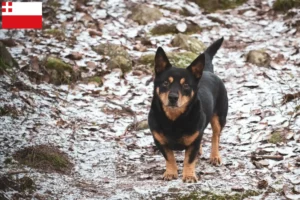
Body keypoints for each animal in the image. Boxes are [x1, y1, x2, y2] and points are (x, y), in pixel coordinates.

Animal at [148, 37, 227, 183]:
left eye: (185, 85)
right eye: (165, 83)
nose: (173, 97)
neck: (174, 119)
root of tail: (207, 71)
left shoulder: (194, 142)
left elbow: (189, 159)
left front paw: (189, 176)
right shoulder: (160, 141)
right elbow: (169, 157)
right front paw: (171, 172)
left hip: (219, 117)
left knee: (216, 136)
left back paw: (214, 156)